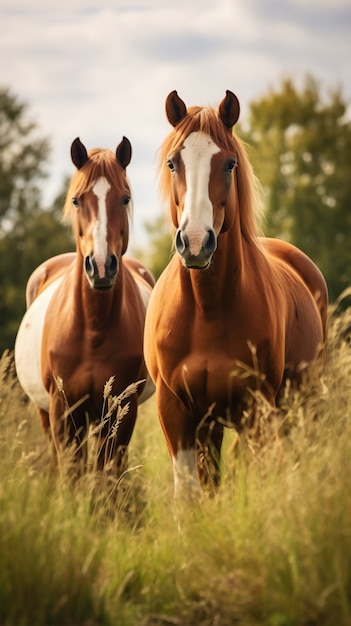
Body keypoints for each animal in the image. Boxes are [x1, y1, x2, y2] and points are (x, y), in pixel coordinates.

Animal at [14, 136, 155, 472]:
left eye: (125, 199)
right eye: (77, 200)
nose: (101, 266)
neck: (93, 328)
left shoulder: (121, 408)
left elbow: (107, 474)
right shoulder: (63, 411)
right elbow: (72, 472)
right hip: (47, 414)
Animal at [142, 90, 328, 502]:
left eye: (229, 163)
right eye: (173, 163)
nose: (196, 242)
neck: (207, 309)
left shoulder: (254, 409)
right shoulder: (175, 411)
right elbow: (191, 494)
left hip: (300, 406)